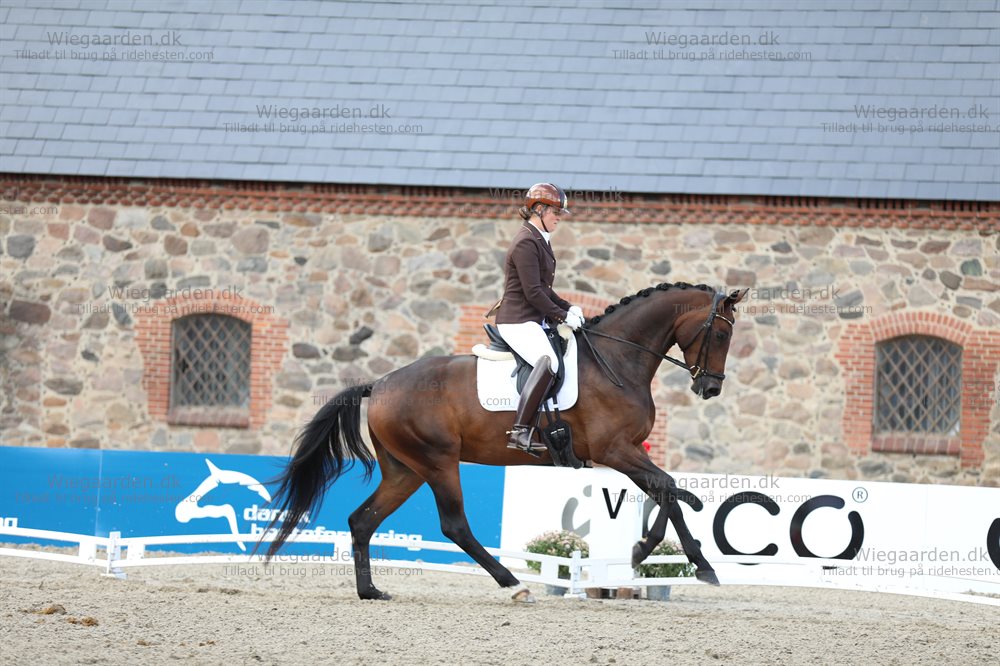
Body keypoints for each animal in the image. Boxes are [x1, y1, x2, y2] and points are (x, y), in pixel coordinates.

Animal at [258, 281, 749, 601]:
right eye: (723, 333)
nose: (710, 388)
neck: (618, 358)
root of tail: (378, 385)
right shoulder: (615, 450)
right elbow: (667, 488)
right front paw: (697, 565)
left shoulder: (623, 454)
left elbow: (666, 494)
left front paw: (644, 552)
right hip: (438, 463)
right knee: (454, 526)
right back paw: (513, 585)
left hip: (405, 470)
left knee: (362, 521)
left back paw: (371, 591)